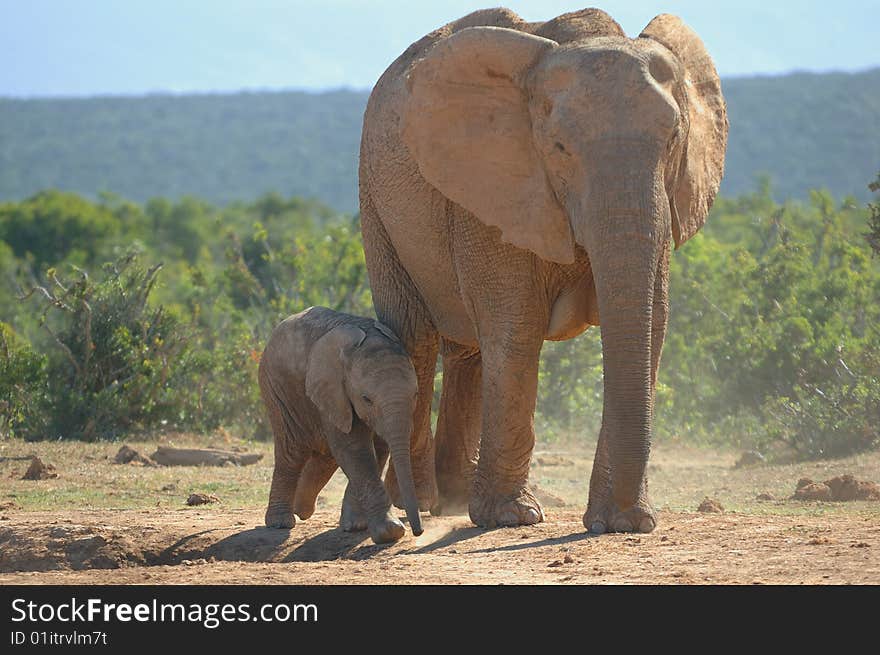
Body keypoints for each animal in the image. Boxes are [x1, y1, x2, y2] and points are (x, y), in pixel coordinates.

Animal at [258, 308, 422, 544]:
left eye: (416, 394)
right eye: (366, 399)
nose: (419, 532)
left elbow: (378, 447)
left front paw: (356, 525)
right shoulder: (333, 389)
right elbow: (355, 449)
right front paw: (391, 532)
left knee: (325, 457)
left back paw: (302, 509)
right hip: (277, 388)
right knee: (292, 451)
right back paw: (281, 522)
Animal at [358, 7, 728, 532]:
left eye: (673, 139)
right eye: (558, 148)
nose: (631, 520)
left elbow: (652, 325)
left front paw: (620, 521)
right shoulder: (492, 186)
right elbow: (516, 329)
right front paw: (512, 517)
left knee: (468, 351)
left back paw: (453, 498)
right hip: (377, 199)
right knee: (417, 336)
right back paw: (423, 504)